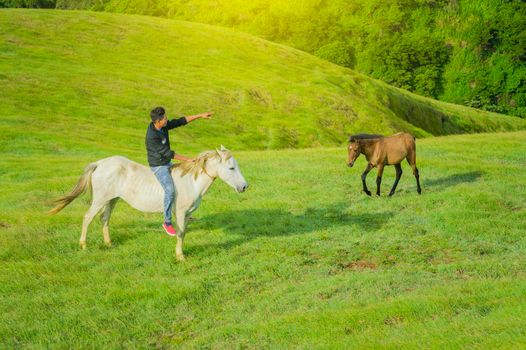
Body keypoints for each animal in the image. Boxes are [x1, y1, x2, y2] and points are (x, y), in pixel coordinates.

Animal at [50, 145, 249, 260]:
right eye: (231, 167)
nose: (244, 186)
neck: (190, 181)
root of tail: (100, 163)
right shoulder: (180, 212)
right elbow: (180, 233)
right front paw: (180, 257)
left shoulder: (187, 214)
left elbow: (183, 233)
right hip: (100, 199)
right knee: (88, 218)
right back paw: (83, 245)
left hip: (112, 200)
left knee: (104, 219)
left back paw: (109, 244)